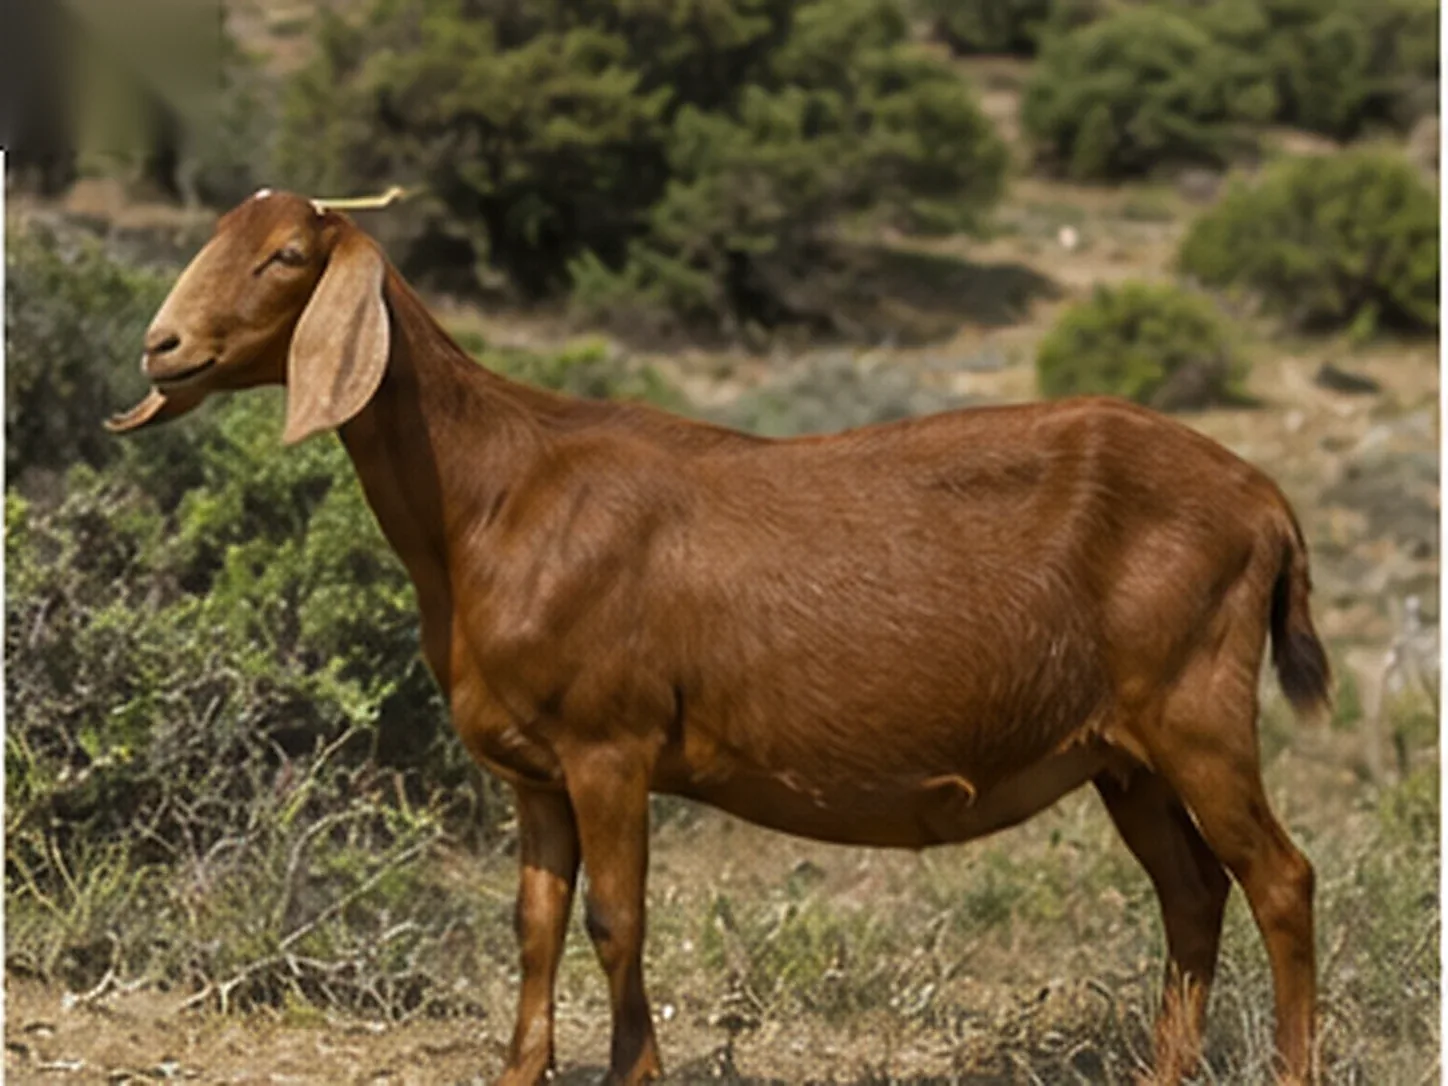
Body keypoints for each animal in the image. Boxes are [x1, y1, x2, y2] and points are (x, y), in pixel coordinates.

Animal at [110, 190, 1331, 1086]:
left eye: (281, 258)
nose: (161, 345)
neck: (491, 496)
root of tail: (1267, 500)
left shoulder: (610, 745)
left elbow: (616, 919)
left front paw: (635, 1071)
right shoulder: (533, 770)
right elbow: (534, 921)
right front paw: (522, 1070)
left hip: (1196, 707)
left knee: (1279, 878)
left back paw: (1289, 1069)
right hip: (1122, 751)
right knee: (1192, 893)